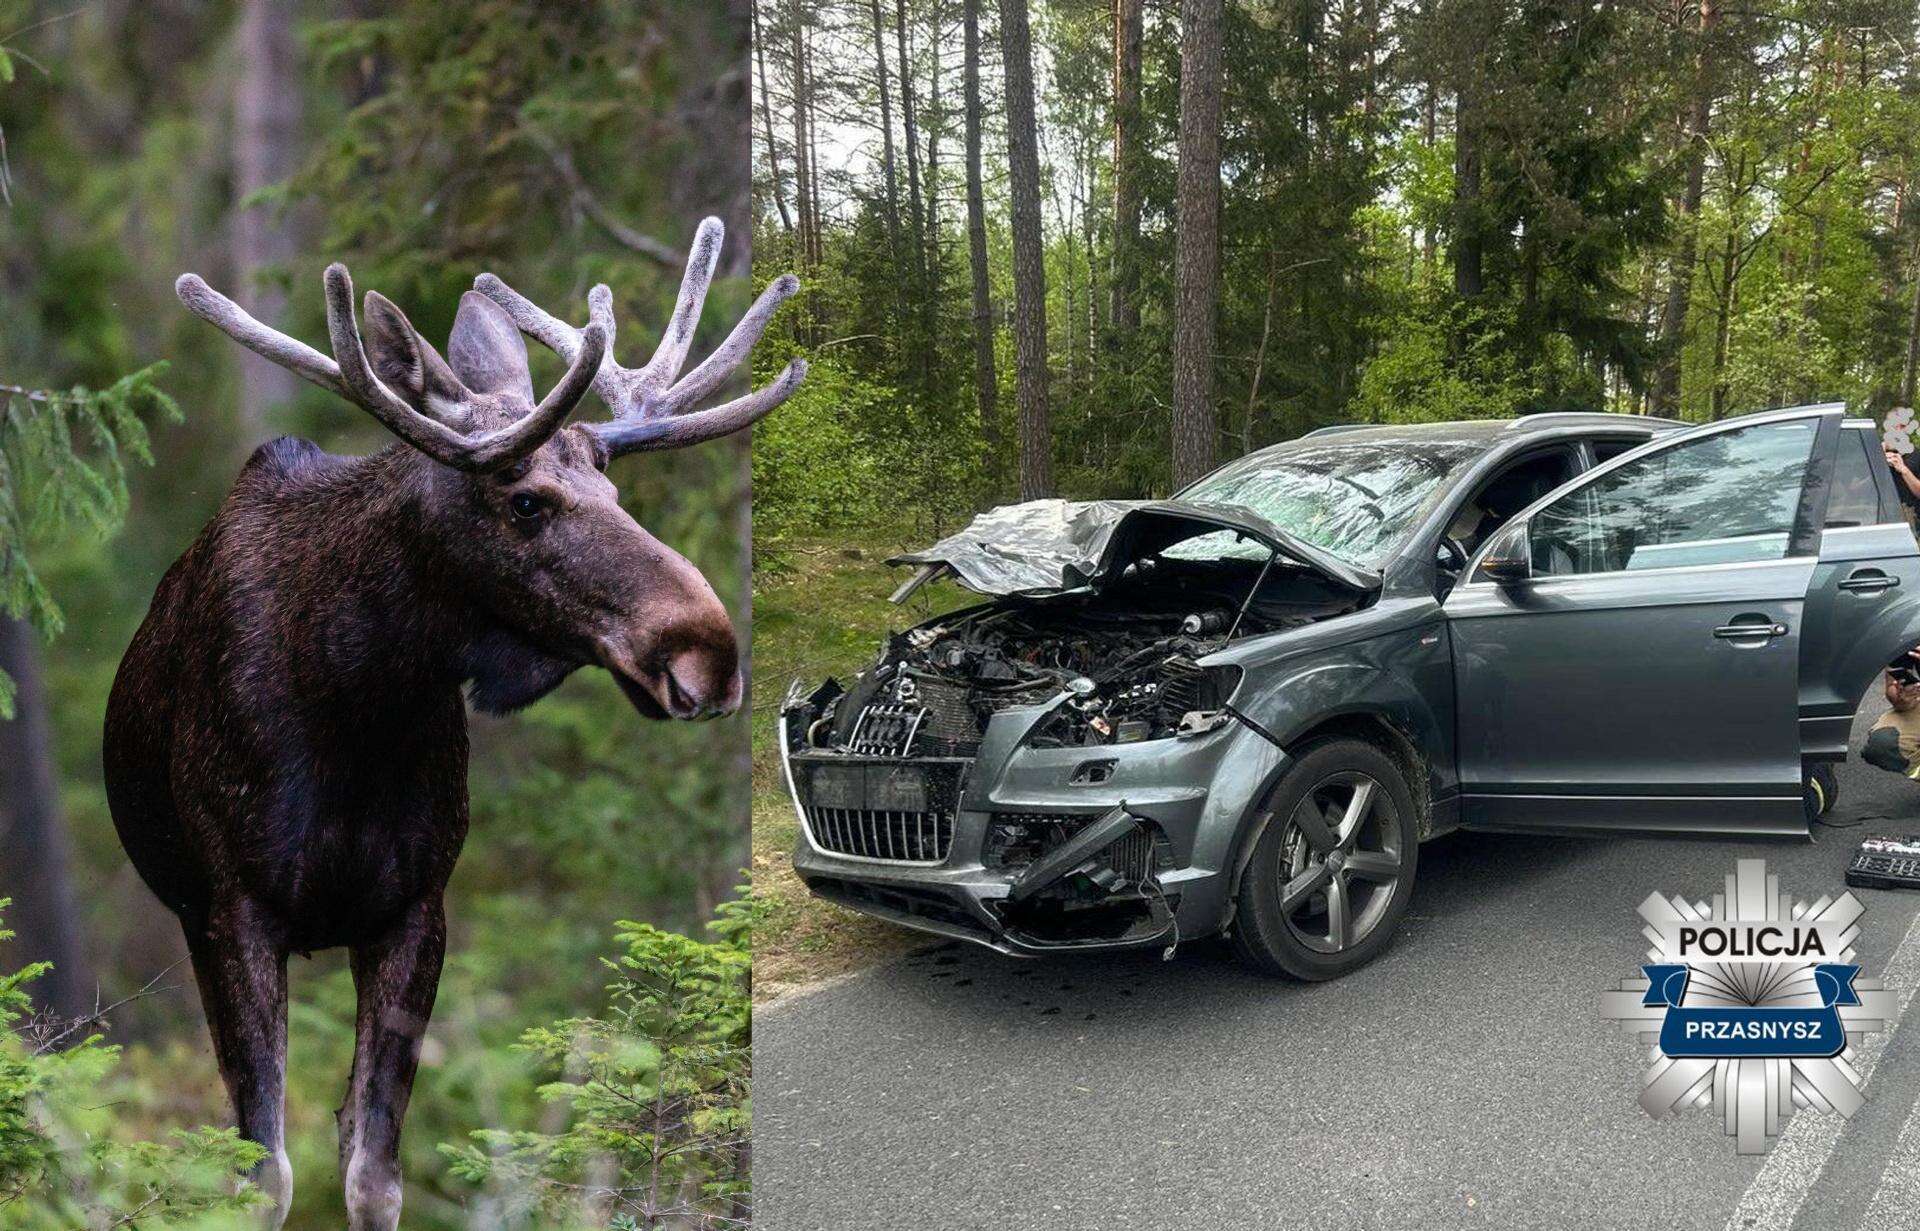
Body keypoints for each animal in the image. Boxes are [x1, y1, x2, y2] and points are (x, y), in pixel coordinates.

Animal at [107, 220, 794, 1229]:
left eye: (616, 496)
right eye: (525, 500)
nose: (708, 651)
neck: (355, 702)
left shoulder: (416, 908)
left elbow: (373, 1167)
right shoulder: (238, 909)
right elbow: (264, 1171)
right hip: (194, 917)